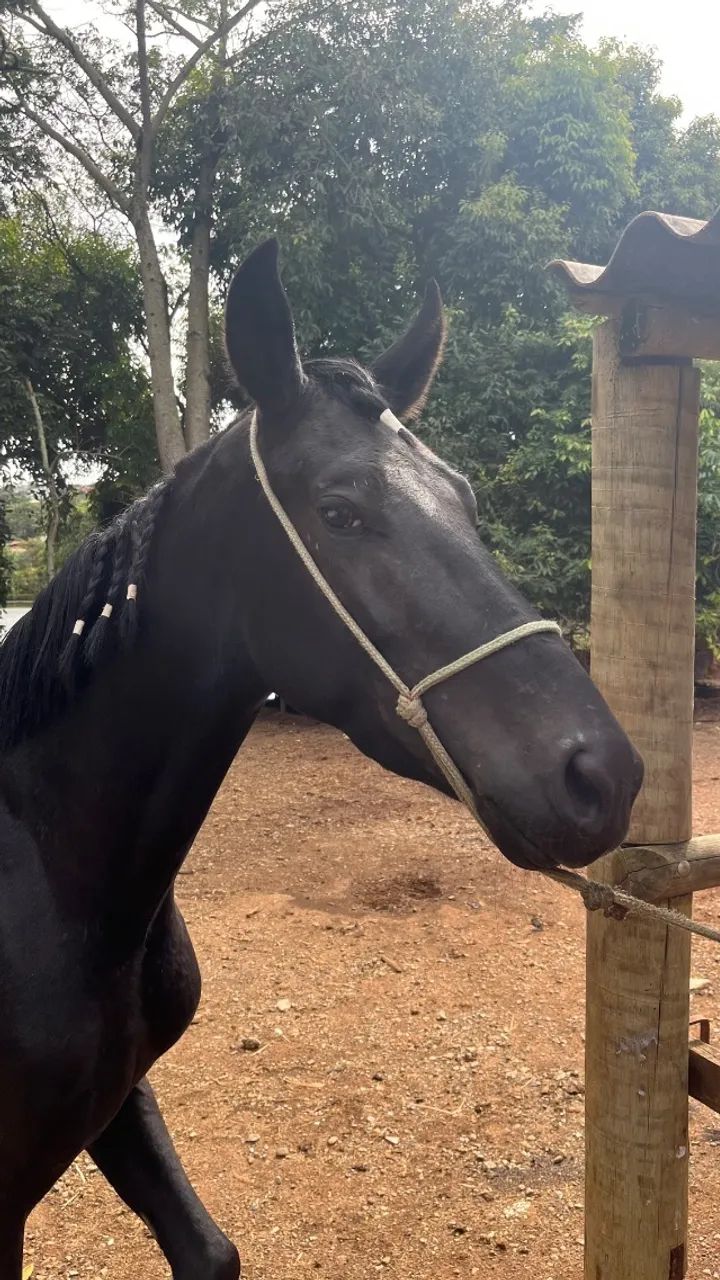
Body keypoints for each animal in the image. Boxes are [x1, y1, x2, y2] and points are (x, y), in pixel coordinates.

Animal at [0, 239, 642, 1277]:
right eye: (339, 512)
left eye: (465, 500)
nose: (602, 775)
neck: (47, 877)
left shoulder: (116, 1100)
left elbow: (209, 1250)